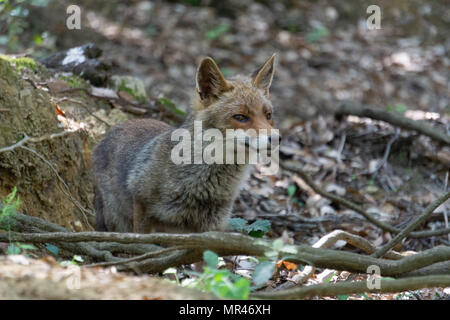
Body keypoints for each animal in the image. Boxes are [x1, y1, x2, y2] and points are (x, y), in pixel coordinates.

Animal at [92, 55, 278, 234]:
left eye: (268, 115)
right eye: (240, 117)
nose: (276, 138)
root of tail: (112, 129)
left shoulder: (208, 227)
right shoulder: (142, 206)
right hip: (117, 220)